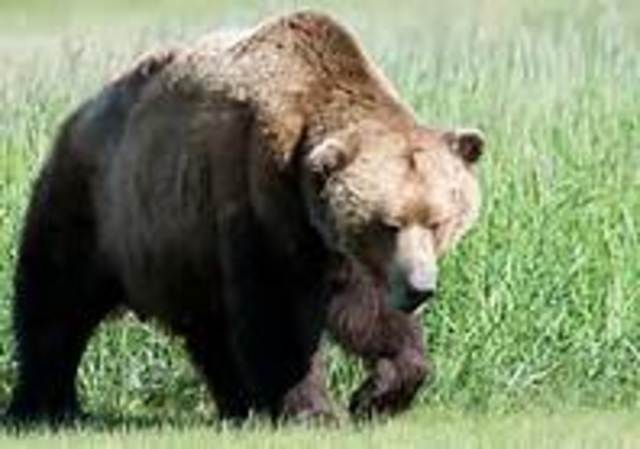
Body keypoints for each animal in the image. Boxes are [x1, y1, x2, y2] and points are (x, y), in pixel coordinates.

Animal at [6, 11, 484, 423]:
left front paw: (378, 393)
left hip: (183, 245)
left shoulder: (332, 242)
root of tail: (79, 112)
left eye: (439, 221)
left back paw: (236, 403)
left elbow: (368, 311)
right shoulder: (259, 197)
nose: (420, 288)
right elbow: (279, 312)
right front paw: (312, 410)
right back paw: (45, 405)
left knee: (206, 327)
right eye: (388, 224)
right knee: (55, 301)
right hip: (100, 204)